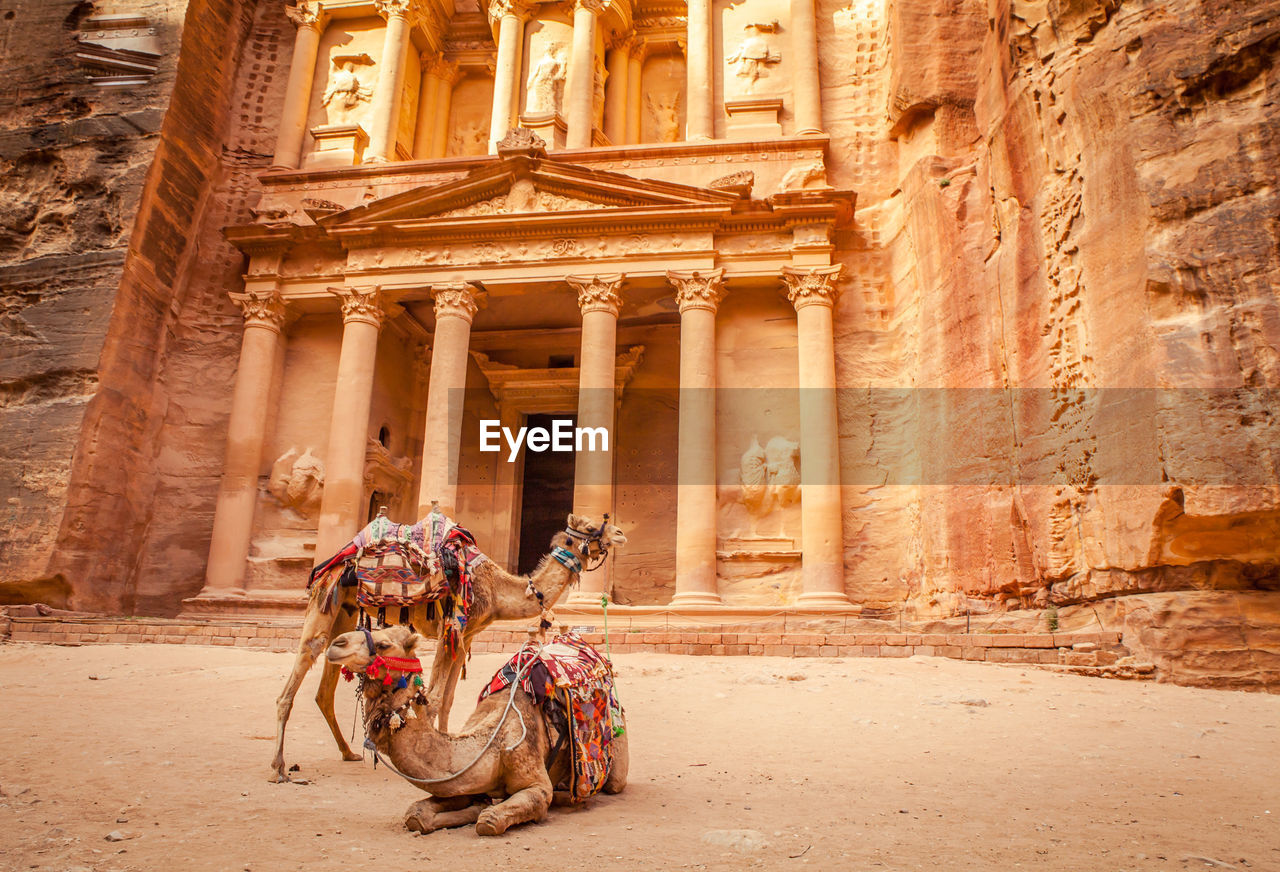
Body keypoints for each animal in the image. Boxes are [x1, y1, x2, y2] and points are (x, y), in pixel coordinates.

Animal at [270, 509, 624, 783]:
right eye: (590, 527)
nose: (620, 533)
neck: (497, 591)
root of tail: (331, 563)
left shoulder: (465, 636)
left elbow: (449, 700)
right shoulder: (450, 629)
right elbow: (437, 697)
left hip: (343, 614)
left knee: (324, 690)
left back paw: (347, 752)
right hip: (325, 601)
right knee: (297, 674)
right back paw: (278, 768)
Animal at [322, 622, 627, 834]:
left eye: (384, 644)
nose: (336, 643)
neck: (489, 744)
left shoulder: (534, 780)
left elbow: (489, 821)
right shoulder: (462, 782)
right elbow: (416, 815)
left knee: (612, 783)